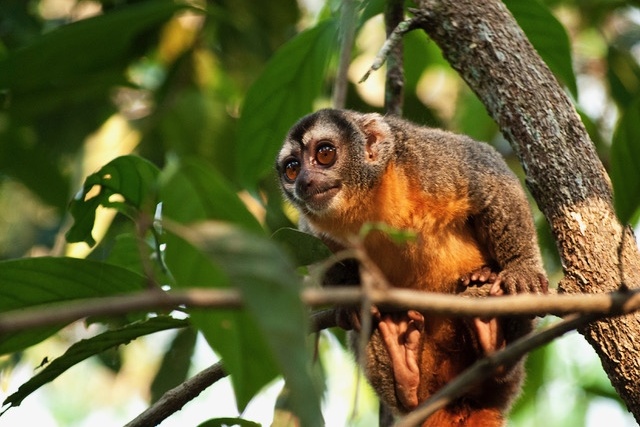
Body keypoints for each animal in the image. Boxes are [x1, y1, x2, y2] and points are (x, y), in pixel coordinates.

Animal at [275, 109, 548, 426]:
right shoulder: (312, 229)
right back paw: (405, 370)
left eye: (325, 153)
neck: (368, 199)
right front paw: (352, 302)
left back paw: (492, 333)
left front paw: (521, 269)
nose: (304, 181)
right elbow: (322, 259)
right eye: (292, 168)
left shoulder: (430, 162)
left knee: (502, 370)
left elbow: (492, 177)